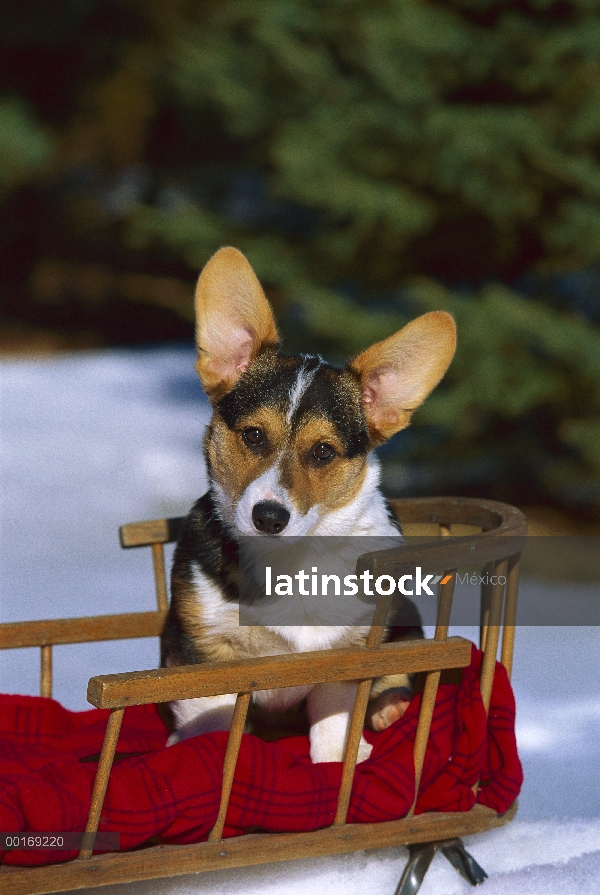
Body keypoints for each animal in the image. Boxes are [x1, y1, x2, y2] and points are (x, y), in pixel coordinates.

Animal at [161, 247, 454, 764]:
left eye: (322, 452)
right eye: (253, 436)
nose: (269, 518)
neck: (291, 560)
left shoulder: (348, 651)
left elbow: (333, 721)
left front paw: (337, 759)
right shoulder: (206, 650)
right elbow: (212, 719)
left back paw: (389, 708)